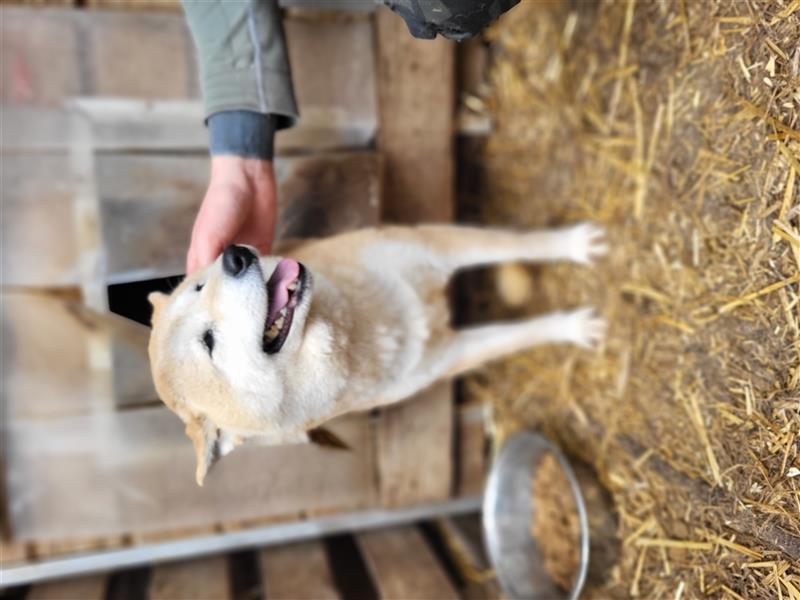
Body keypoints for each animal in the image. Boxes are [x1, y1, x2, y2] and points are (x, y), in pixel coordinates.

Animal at [148, 223, 608, 486]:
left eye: (199, 285)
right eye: (209, 342)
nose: (233, 256)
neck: (357, 324)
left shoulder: (436, 243)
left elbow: (520, 242)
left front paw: (572, 244)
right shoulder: (449, 356)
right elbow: (521, 335)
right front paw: (571, 328)